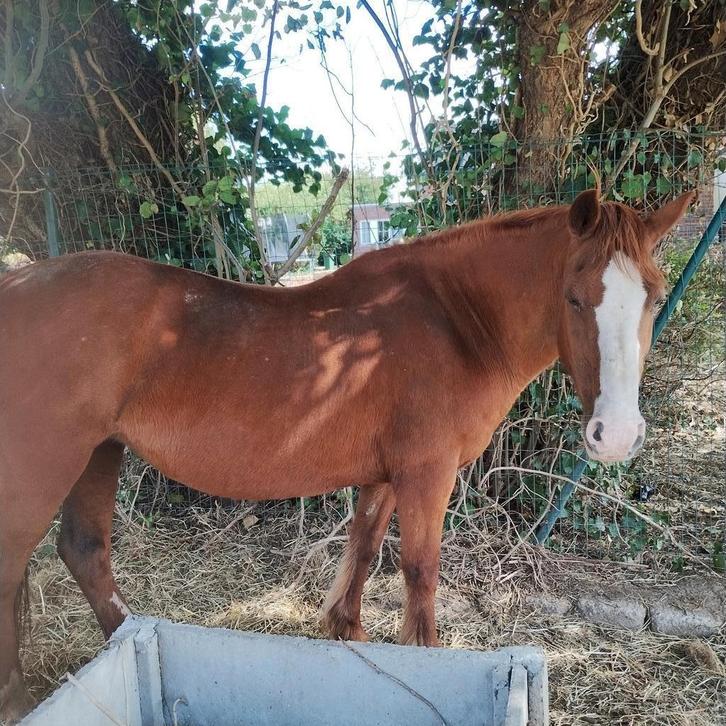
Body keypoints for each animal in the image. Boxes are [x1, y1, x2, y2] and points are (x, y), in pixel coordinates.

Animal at [0, 189, 692, 721]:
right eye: (575, 297)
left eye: (656, 297)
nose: (617, 434)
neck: (454, 322)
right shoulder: (426, 476)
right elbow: (419, 574)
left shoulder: (384, 476)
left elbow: (361, 553)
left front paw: (349, 636)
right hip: (48, 468)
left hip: (100, 453)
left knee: (86, 552)